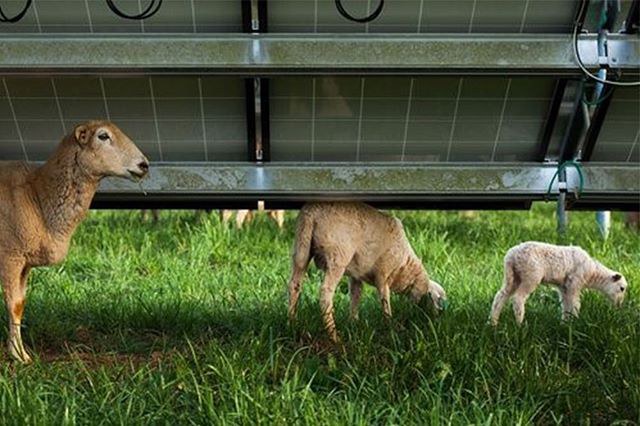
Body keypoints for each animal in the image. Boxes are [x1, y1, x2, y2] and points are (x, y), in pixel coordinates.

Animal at [0, 120, 149, 362]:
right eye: (103, 136)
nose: (144, 165)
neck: (38, 195)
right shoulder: (10, 256)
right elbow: (13, 305)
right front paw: (17, 356)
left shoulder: (25, 264)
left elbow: (21, 304)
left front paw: (22, 352)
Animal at [284, 202, 444, 342]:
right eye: (436, 299)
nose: (437, 320)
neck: (404, 265)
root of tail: (312, 213)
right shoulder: (383, 274)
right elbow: (385, 301)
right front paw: (389, 326)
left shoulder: (357, 275)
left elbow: (356, 296)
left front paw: (354, 324)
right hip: (338, 255)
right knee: (325, 292)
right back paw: (334, 336)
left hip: (301, 247)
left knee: (294, 285)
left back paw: (292, 323)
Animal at [492, 241, 628, 324]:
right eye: (622, 288)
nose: (619, 305)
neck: (593, 272)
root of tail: (512, 256)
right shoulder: (574, 283)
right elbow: (575, 304)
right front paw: (575, 322)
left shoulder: (564, 287)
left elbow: (565, 305)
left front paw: (564, 323)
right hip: (530, 276)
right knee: (518, 298)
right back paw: (519, 323)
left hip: (512, 276)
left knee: (500, 296)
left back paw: (493, 323)